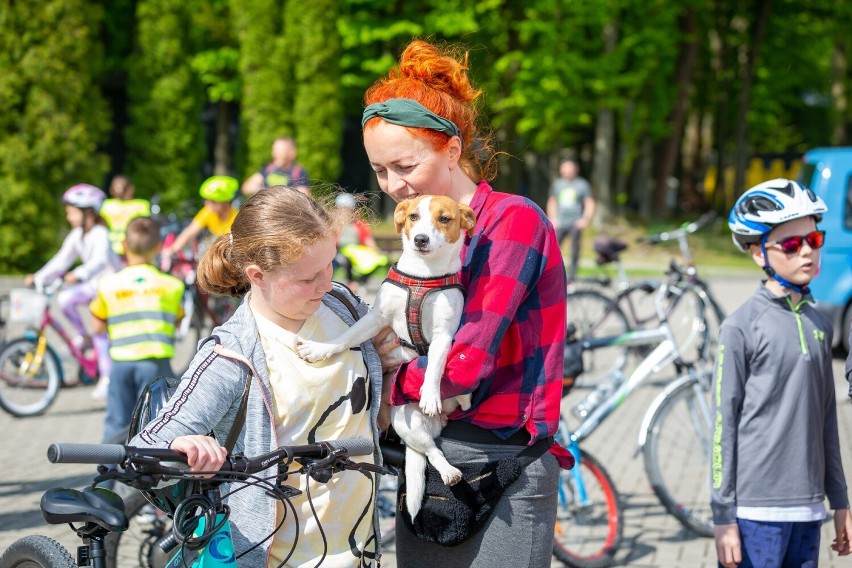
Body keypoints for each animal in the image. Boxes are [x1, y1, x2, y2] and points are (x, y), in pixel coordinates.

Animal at [296, 195, 476, 520]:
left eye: (444, 218)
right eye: (414, 216)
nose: (420, 239)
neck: (423, 277)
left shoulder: (444, 335)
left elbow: (434, 366)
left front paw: (430, 393)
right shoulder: (376, 319)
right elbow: (345, 338)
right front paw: (319, 349)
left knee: (438, 447)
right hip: (408, 423)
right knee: (431, 450)